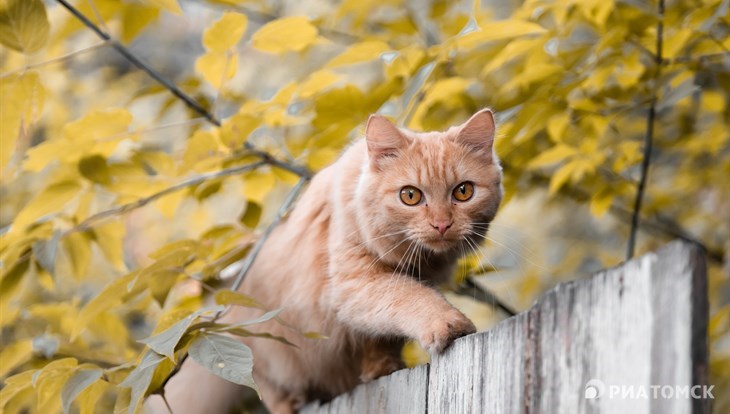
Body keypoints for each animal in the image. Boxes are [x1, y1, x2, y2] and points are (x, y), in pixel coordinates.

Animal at [151, 108, 504, 412]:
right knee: (271, 391)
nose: (442, 224)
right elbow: (409, 297)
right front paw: (447, 324)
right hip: (263, 351)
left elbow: (382, 336)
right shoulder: (355, 283)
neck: (417, 260)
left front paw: (382, 369)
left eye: (463, 192)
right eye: (410, 196)